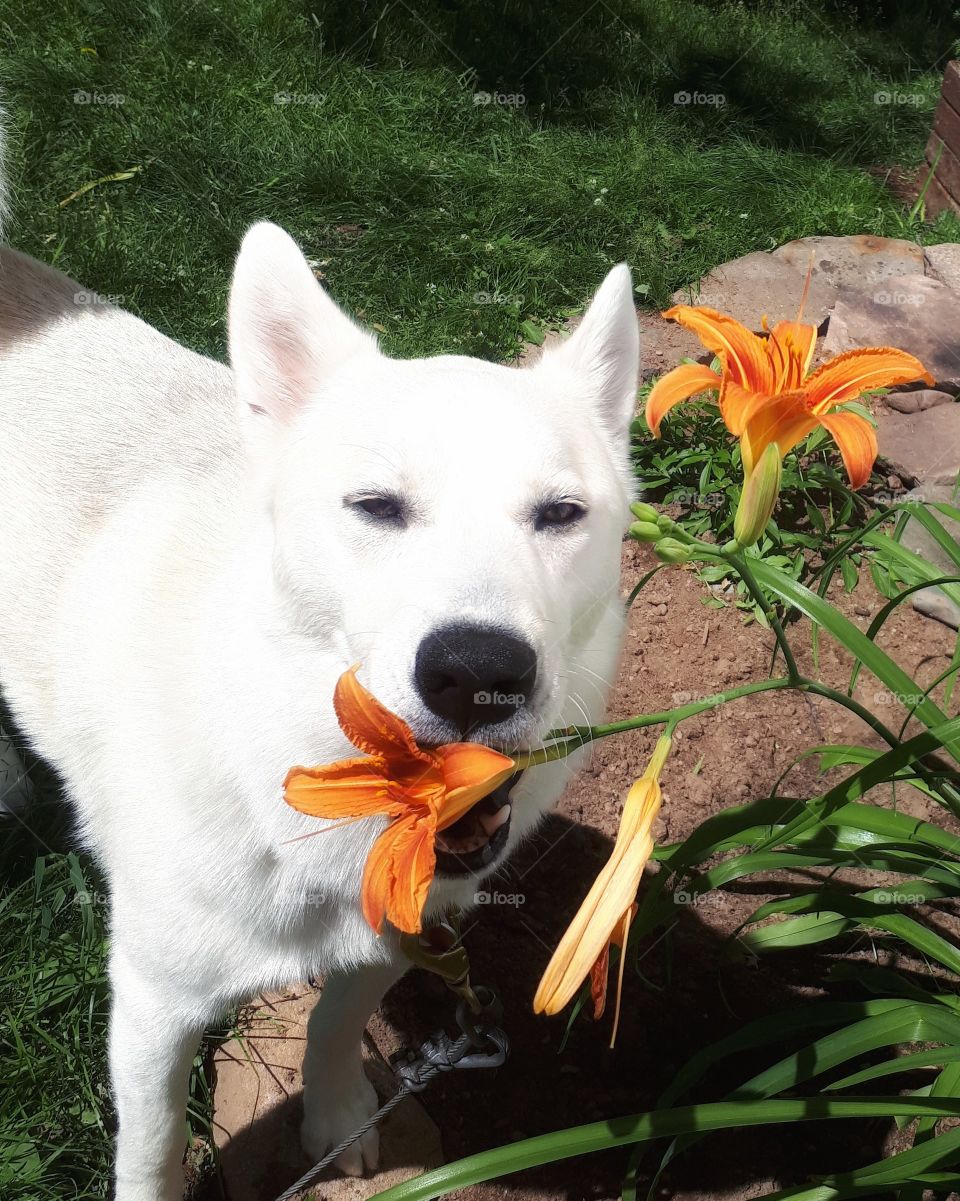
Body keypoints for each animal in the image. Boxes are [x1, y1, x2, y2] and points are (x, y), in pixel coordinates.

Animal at [0, 211, 639, 1196]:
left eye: (561, 513)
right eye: (376, 505)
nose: (476, 669)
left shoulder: (393, 935)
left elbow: (335, 1021)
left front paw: (335, 1119)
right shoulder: (151, 1000)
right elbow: (151, 1147)